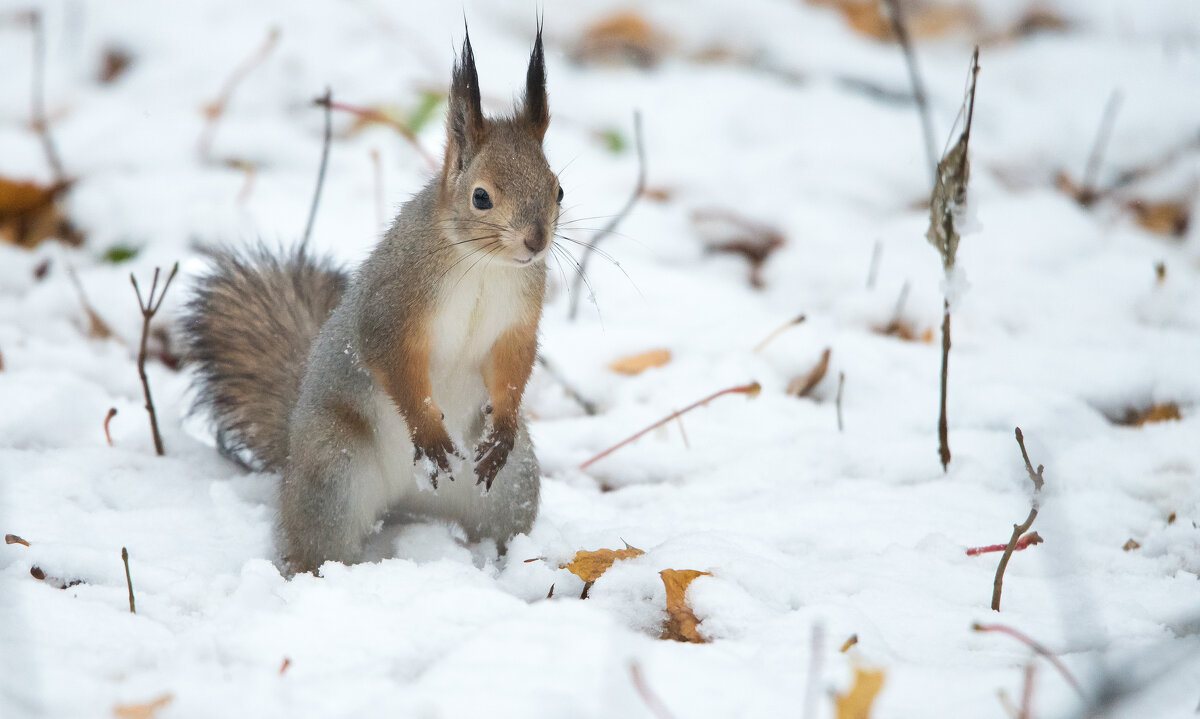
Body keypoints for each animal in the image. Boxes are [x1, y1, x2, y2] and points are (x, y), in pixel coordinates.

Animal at [181, 26, 556, 573]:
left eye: (559, 190)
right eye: (481, 197)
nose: (536, 242)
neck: (484, 265)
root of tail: (410, 497)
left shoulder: (519, 319)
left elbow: (513, 365)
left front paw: (502, 424)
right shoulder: (394, 303)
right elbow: (391, 358)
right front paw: (428, 430)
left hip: (513, 484)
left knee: (502, 515)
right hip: (334, 472)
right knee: (318, 540)